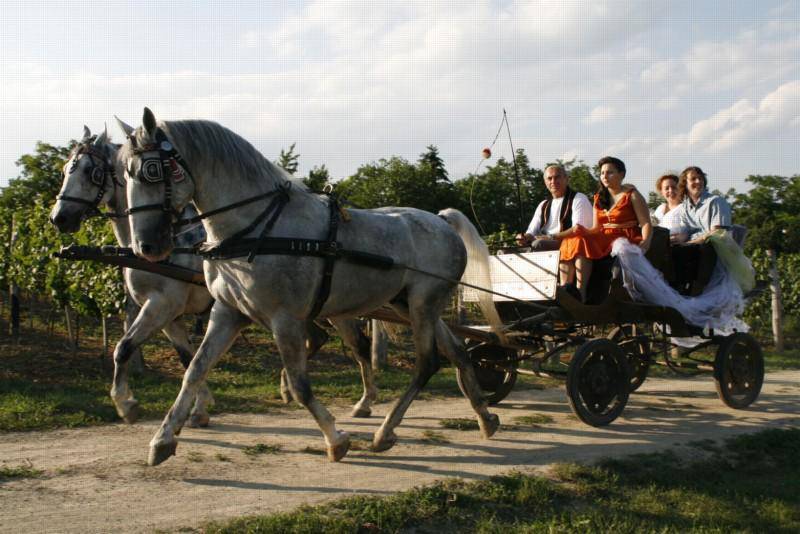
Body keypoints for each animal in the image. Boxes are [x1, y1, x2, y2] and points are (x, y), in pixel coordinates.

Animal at [119, 107, 500, 466]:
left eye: (150, 171)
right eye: (125, 173)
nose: (146, 247)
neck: (256, 228)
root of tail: (442, 221)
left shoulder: (284, 319)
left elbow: (301, 385)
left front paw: (336, 439)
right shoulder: (228, 313)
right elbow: (195, 370)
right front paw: (162, 439)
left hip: (422, 305)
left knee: (426, 363)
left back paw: (385, 432)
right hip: (410, 305)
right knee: (457, 352)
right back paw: (485, 417)